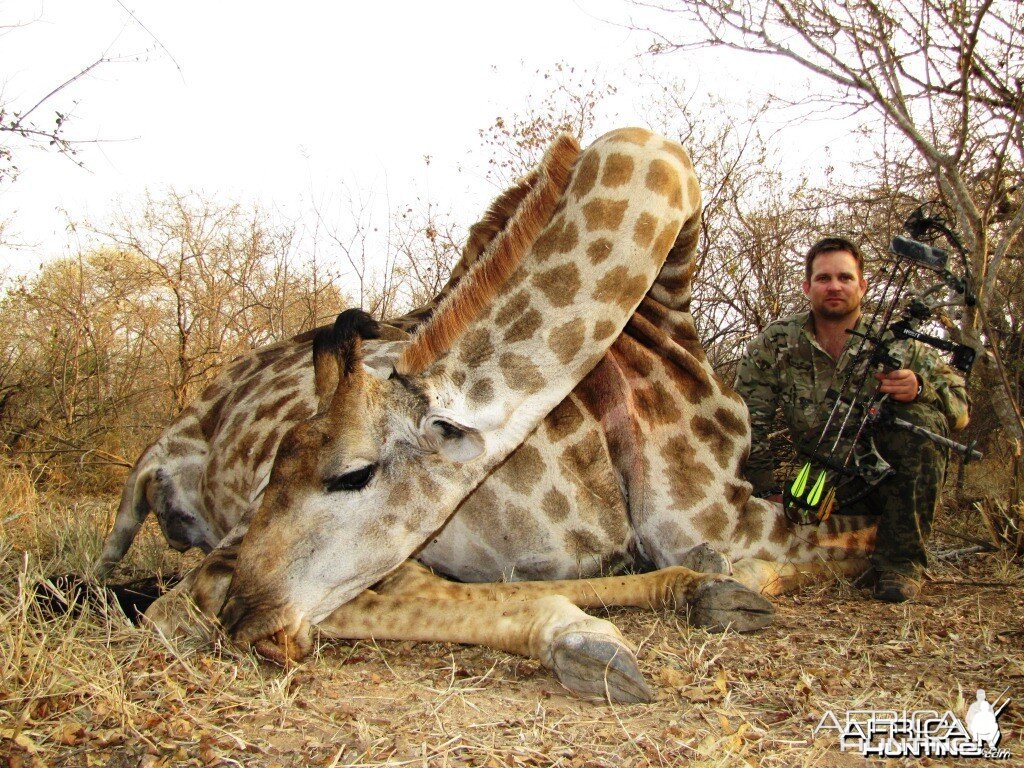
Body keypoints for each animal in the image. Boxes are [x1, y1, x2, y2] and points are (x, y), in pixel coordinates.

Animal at [97, 126, 872, 704]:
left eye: (350, 475)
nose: (249, 618)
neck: (666, 301)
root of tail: (169, 448)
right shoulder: (713, 517)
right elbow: (859, 547)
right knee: (199, 598)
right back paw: (600, 635)